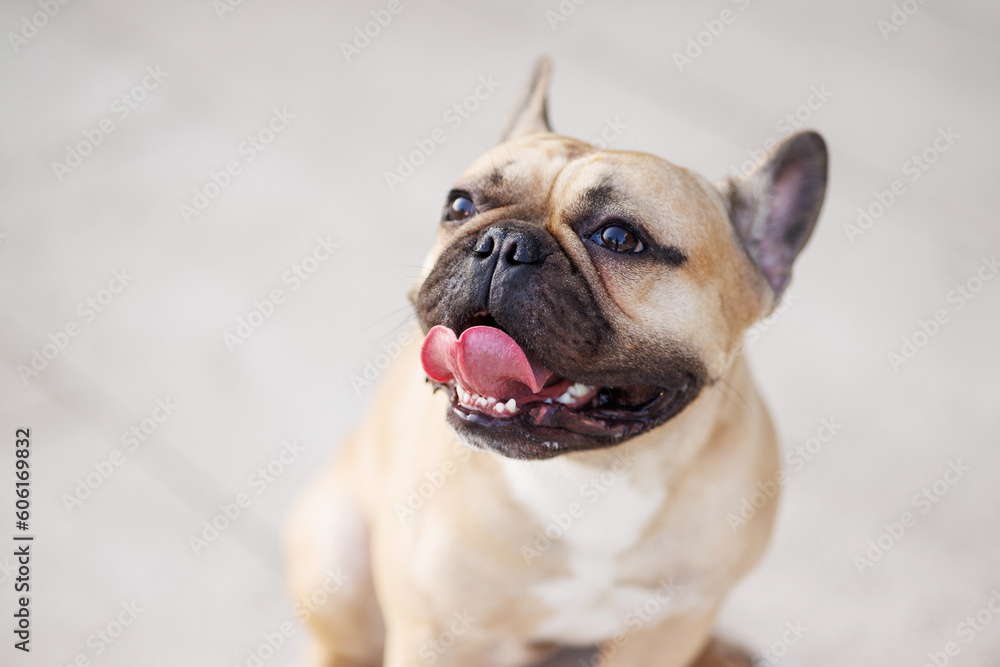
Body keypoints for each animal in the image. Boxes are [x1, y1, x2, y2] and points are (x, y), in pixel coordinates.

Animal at [284, 58, 828, 667]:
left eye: (619, 238)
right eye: (460, 207)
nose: (502, 242)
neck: (596, 473)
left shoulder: (668, 629)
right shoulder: (439, 632)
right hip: (337, 557)